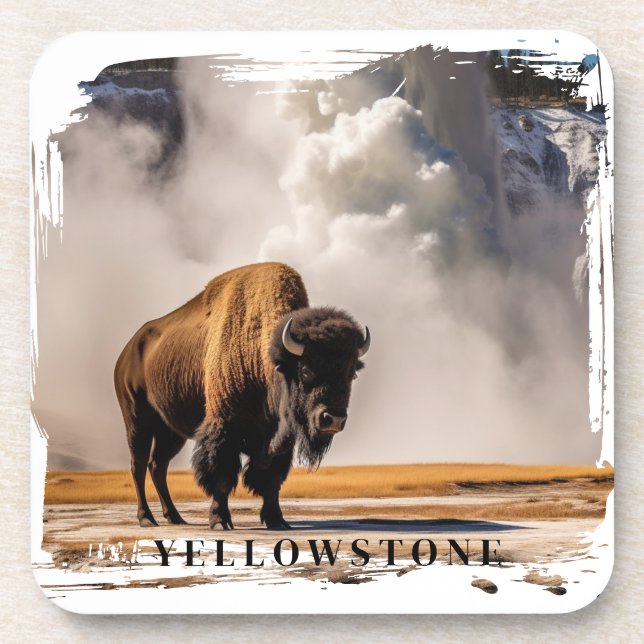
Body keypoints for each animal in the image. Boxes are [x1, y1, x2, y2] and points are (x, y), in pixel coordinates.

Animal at [114, 262, 370, 529]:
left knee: (158, 465)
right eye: (306, 370)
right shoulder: (225, 429)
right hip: (137, 420)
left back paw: (175, 517)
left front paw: (277, 520)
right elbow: (223, 477)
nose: (333, 419)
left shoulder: (279, 441)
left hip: (170, 432)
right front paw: (220, 521)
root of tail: (127, 351)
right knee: (138, 465)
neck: (263, 360)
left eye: (352, 373)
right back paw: (146, 518)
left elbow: (271, 479)